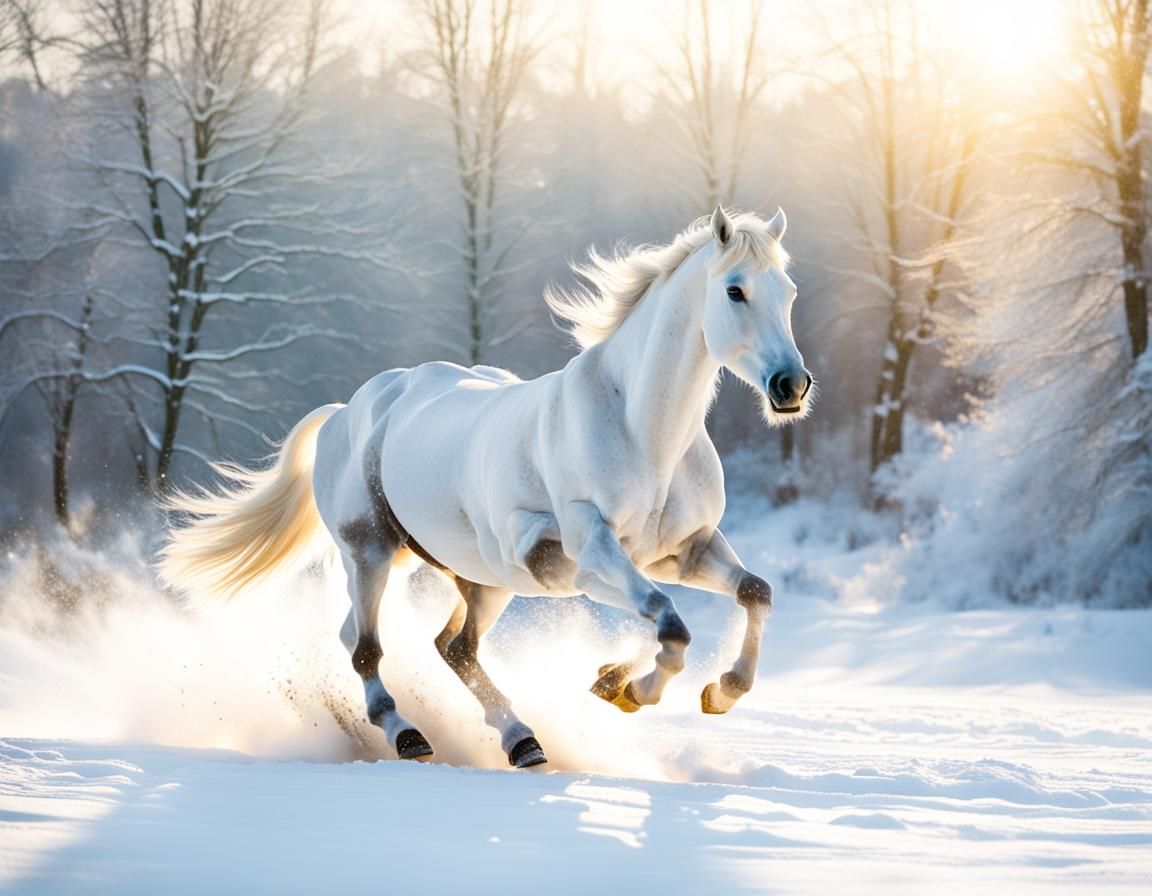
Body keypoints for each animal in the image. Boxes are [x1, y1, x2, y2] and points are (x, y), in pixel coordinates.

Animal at [159, 206, 813, 768]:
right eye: (735, 290)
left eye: (788, 292)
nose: (790, 386)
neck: (639, 430)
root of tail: (349, 410)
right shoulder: (589, 552)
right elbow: (668, 620)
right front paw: (635, 688)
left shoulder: (682, 552)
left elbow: (753, 592)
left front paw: (703, 689)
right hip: (369, 550)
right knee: (365, 645)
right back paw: (409, 734)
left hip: (481, 578)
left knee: (454, 647)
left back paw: (523, 741)